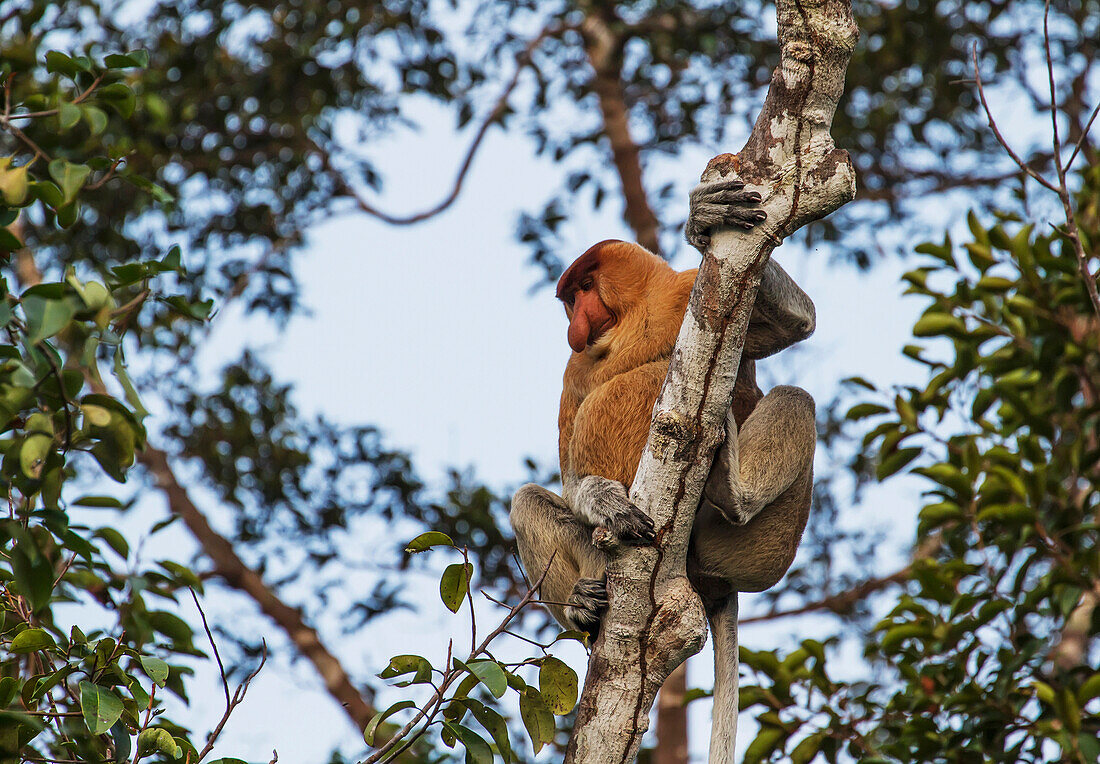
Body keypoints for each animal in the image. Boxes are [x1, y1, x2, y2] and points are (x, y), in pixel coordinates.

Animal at [510, 179, 814, 760]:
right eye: (570, 298)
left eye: (586, 286)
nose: (575, 324)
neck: (631, 321)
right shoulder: (574, 367)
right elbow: (569, 474)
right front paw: (605, 500)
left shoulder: (688, 291)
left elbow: (797, 321)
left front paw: (704, 217)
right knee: (526, 503)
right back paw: (584, 607)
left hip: (756, 550)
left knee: (797, 398)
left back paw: (732, 489)